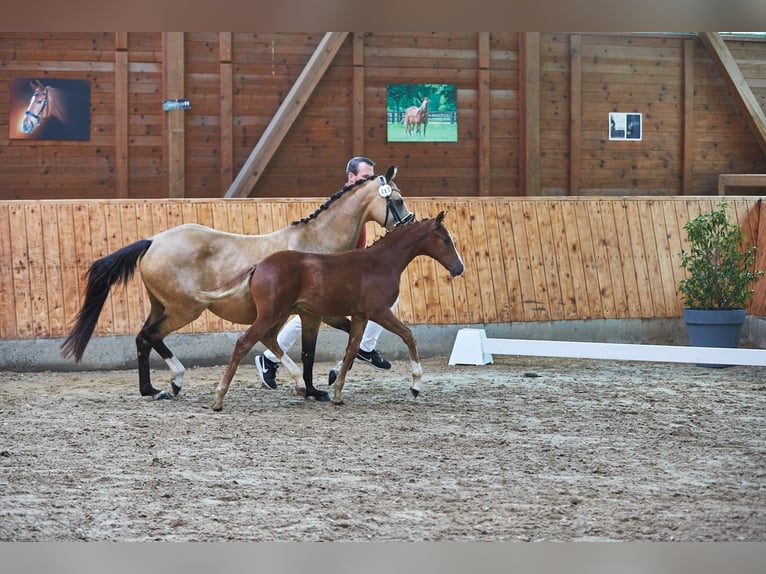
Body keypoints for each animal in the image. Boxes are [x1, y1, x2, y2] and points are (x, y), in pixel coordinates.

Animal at [60, 166, 415, 400]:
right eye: (396, 200)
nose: (409, 223)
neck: (316, 244)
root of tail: (153, 241)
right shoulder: (312, 313)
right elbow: (309, 351)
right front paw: (315, 387)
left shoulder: (319, 312)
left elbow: (331, 342)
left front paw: (322, 381)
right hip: (185, 309)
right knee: (151, 335)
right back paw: (176, 380)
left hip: (161, 305)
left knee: (142, 338)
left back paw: (151, 389)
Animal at [202, 210, 465, 411]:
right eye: (445, 239)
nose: (459, 268)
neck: (381, 263)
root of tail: (258, 265)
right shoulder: (379, 312)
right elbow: (408, 335)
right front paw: (416, 386)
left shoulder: (360, 316)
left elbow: (351, 350)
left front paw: (337, 392)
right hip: (272, 313)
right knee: (244, 342)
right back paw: (219, 398)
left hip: (280, 313)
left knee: (268, 338)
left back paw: (300, 384)